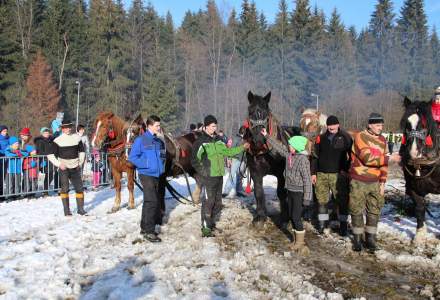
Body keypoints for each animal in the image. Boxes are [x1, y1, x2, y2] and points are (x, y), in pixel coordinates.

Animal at [242, 91, 294, 225]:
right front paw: (260, 216)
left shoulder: (281, 174)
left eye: (266, 113)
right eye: (250, 112)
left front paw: (284, 217)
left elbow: (281, 192)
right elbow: (259, 192)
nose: (259, 139)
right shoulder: (255, 172)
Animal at [400, 98, 438, 244]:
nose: (414, 152)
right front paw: (420, 235)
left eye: (424, 123)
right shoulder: (413, 188)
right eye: (407, 123)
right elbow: (419, 208)